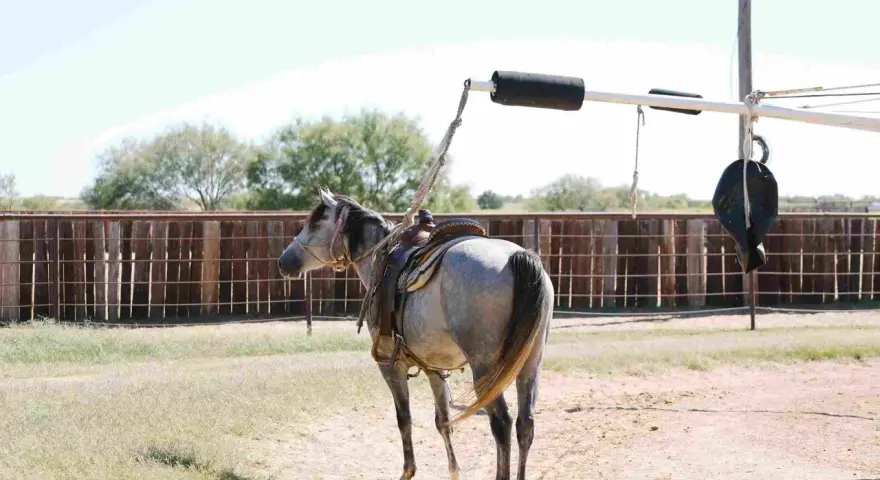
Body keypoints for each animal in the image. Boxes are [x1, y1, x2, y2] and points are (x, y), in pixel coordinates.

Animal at [277, 189, 554, 480]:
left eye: (314, 223)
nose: (283, 261)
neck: (380, 260)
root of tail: (517, 257)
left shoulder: (391, 366)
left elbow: (404, 419)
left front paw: (408, 471)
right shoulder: (434, 369)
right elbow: (443, 420)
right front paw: (454, 471)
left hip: (485, 368)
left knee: (501, 423)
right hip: (530, 364)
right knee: (525, 424)